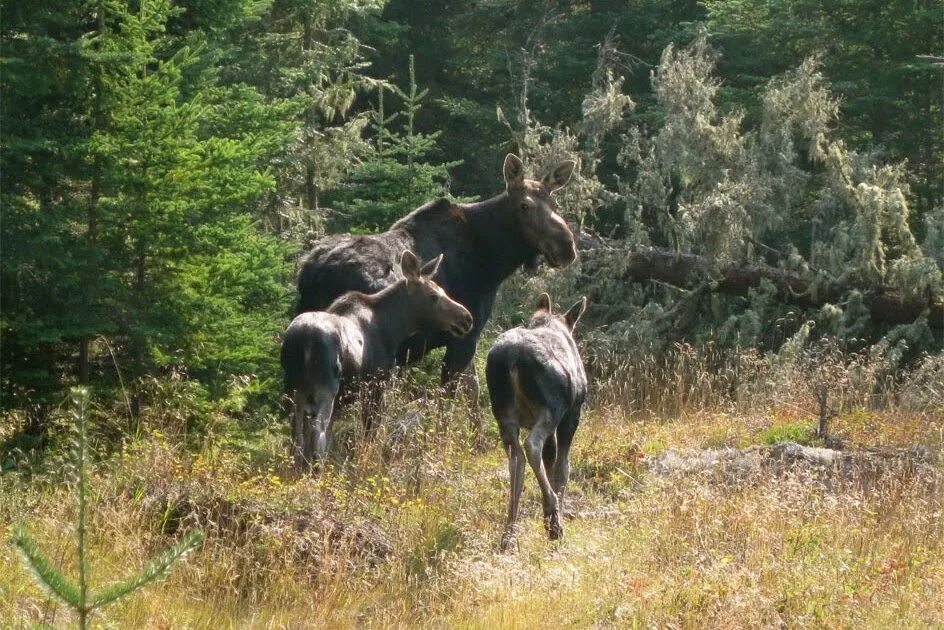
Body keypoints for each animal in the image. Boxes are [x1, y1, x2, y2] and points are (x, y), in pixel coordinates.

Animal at [278, 249, 472, 472]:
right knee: (318, 431)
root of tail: (304, 340)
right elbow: (370, 432)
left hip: (293, 388)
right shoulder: (376, 384)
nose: (467, 318)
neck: (394, 328)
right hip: (325, 388)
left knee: (297, 434)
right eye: (434, 296)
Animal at [296, 156, 580, 436]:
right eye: (524, 205)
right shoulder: (464, 336)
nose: (567, 246)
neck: (492, 260)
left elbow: (471, 393)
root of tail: (312, 272)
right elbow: (453, 399)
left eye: (554, 203)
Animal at [484, 294, 588, 552]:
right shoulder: (572, 414)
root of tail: (512, 359)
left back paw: (510, 533)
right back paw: (553, 517)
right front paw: (556, 513)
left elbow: (550, 461)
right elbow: (562, 467)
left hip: (503, 414)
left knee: (516, 459)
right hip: (550, 409)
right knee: (532, 446)